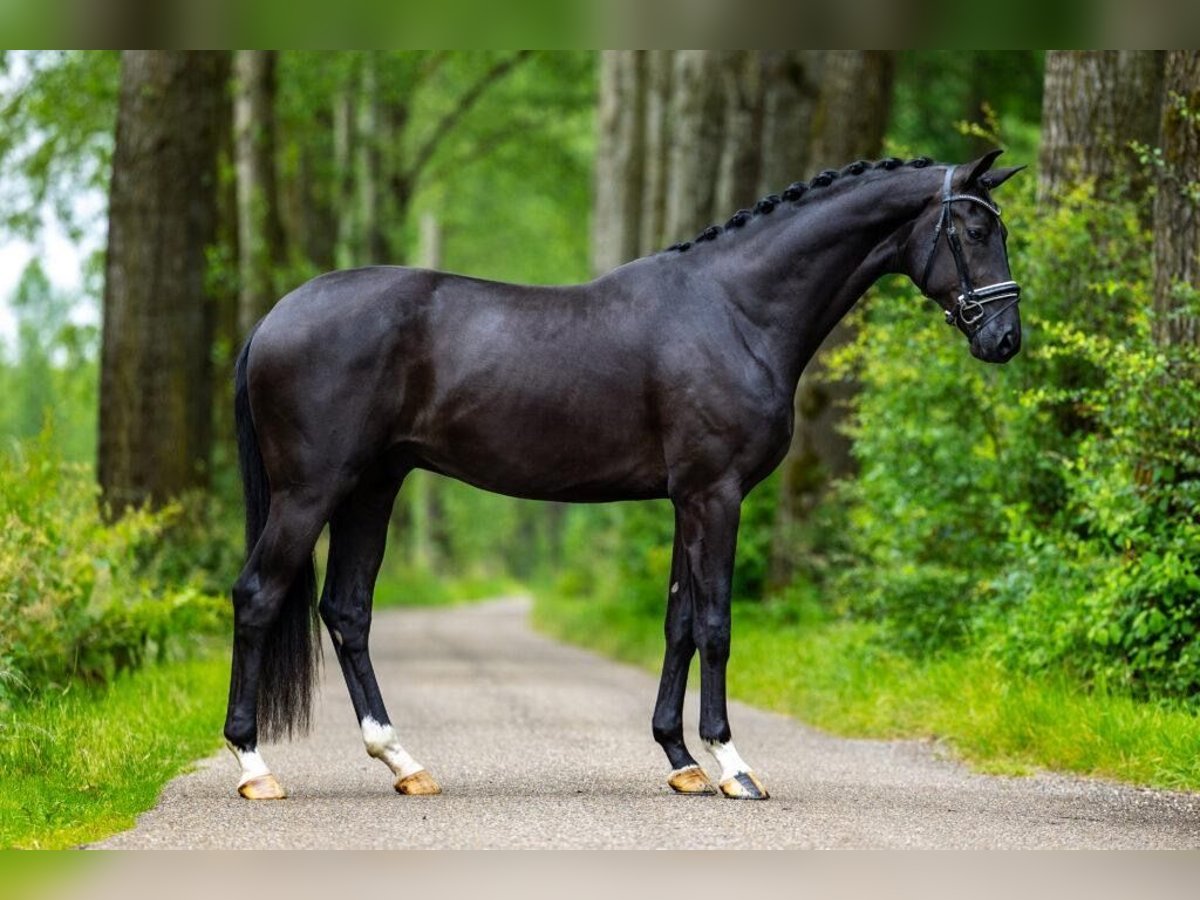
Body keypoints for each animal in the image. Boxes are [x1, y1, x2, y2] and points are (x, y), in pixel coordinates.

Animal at [223, 150, 1022, 801]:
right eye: (973, 230)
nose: (1005, 339)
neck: (735, 309)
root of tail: (273, 318)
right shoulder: (715, 494)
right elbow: (716, 624)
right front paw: (733, 766)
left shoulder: (685, 499)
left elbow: (679, 624)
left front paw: (682, 760)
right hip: (311, 491)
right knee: (259, 595)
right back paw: (255, 767)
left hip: (372, 487)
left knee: (347, 610)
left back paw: (403, 763)